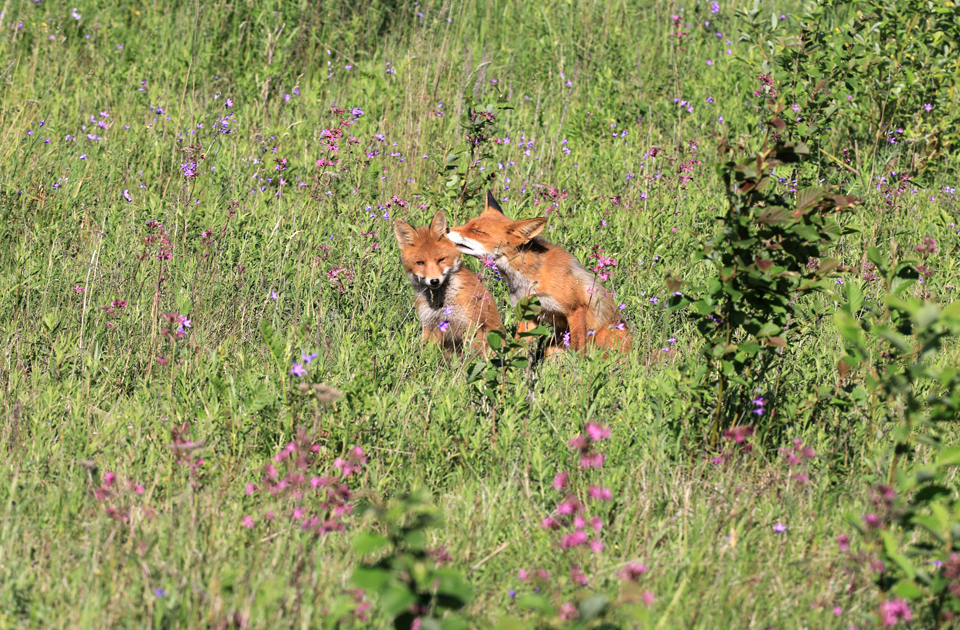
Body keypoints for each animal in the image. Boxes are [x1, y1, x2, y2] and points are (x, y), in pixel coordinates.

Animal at [394, 212, 506, 356]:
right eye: (420, 263)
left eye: (441, 260)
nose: (434, 281)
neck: (441, 303)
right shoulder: (430, 325)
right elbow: (426, 355)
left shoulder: (471, 325)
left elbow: (472, 356)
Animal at [444, 190, 632, 356]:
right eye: (467, 224)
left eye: (477, 231)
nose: (445, 229)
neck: (530, 277)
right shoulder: (529, 313)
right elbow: (517, 348)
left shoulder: (577, 308)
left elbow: (579, 351)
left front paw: (578, 371)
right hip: (553, 345)